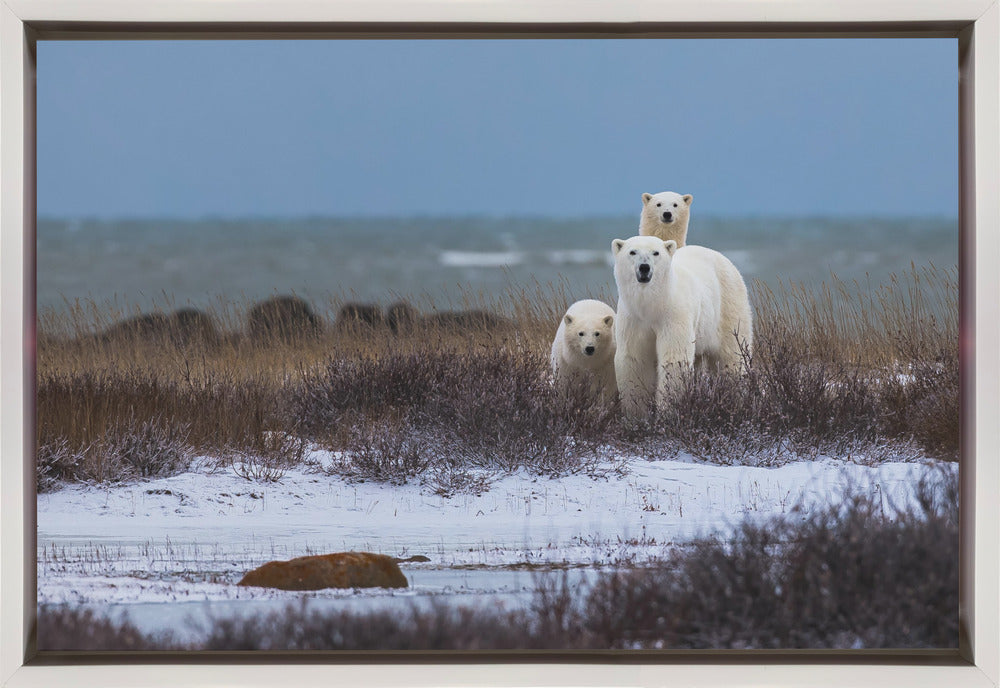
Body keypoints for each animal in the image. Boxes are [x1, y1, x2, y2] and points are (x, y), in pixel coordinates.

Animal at [612, 235, 752, 418]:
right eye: (632, 252)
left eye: (656, 253)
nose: (644, 267)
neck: (654, 303)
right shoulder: (633, 318)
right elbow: (634, 358)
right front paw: (636, 414)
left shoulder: (673, 314)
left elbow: (674, 358)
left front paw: (667, 410)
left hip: (728, 305)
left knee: (731, 356)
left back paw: (734, 397)